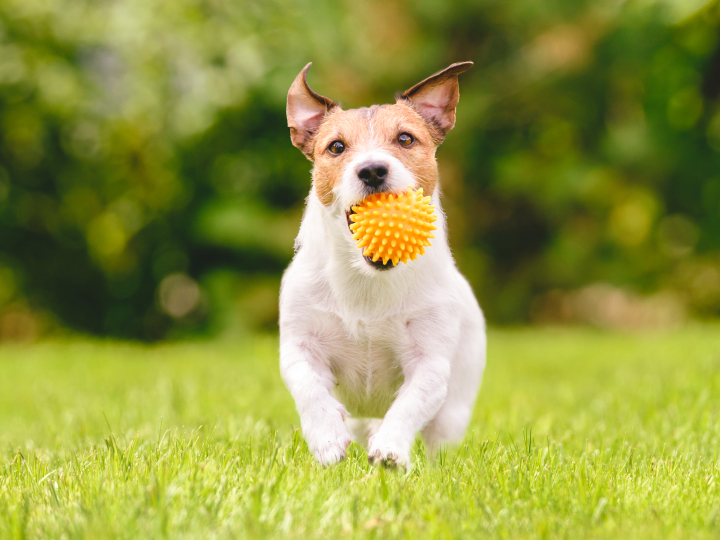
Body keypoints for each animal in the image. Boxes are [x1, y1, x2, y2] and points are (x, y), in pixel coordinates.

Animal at [278, 62, 486, 468]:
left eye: (405, 139)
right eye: (336, 147)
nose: (373, 170)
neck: (368, 281)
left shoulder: (430, 362)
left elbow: (410, 403)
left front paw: (390, 449)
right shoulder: (299, 345)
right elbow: (309, 388)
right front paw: (326, 439)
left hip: (455, 408)